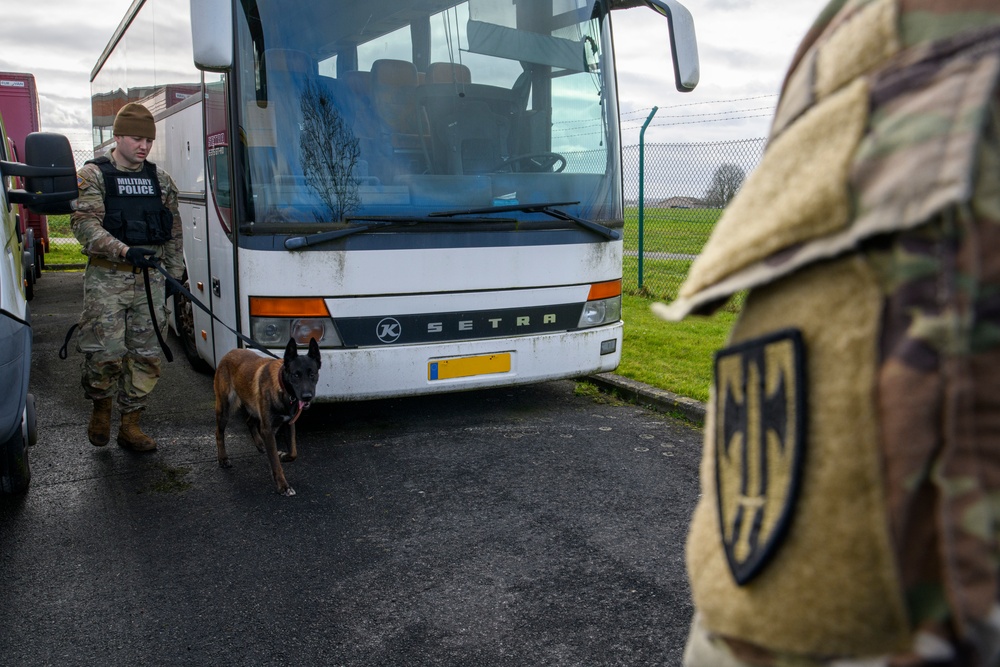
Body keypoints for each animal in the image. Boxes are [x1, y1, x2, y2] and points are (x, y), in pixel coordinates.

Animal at [214, 340, 320, 496]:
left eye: (312, 374)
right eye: (295, 375)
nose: (307, 397)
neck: (283, 389)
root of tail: (230, 352)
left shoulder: (289, 424)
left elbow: (293, 453)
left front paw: (283, 455)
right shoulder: (268, 429)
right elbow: (275, 462)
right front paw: (283, 486)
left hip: (255, 409)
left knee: (249, 422)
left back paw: (260, 444)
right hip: (225, 410)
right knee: (219, 433)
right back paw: (223, 458)